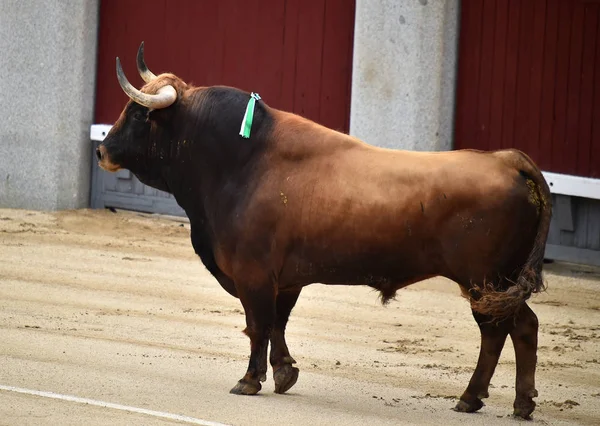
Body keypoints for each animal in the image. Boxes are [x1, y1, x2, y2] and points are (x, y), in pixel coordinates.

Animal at [96, 43, 552, 420]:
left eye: (138, 113)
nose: (101, 150)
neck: (239, 161)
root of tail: (508, 160)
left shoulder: (253, 274)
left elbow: (258, 324)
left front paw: (249, 380)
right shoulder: (284, 280)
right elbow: (277, 324)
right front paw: (283, 374)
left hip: (484, 282)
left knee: (495, 332)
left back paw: (472, 397)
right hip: (499, 283)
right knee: (523, 326)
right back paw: (519, 403)